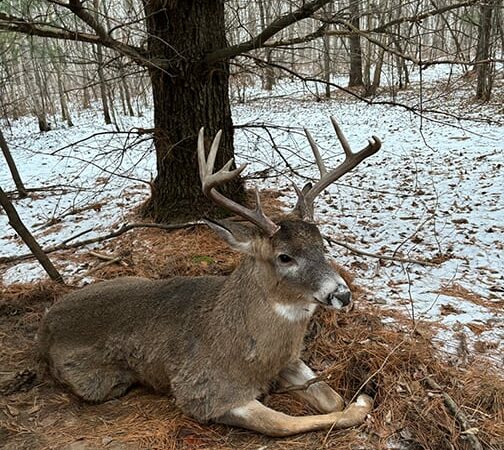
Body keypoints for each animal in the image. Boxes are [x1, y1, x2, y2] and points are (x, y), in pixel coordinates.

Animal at [38, 118, 378, 438]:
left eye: (323, 244)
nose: (342, 294)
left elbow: (331, 398)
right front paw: (362, 403)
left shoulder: (290, 360)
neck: (253, 353)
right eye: (284, 257)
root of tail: (45, 324)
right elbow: (282, 423)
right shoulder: (202, 392)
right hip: (94, 382)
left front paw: (353, 399)